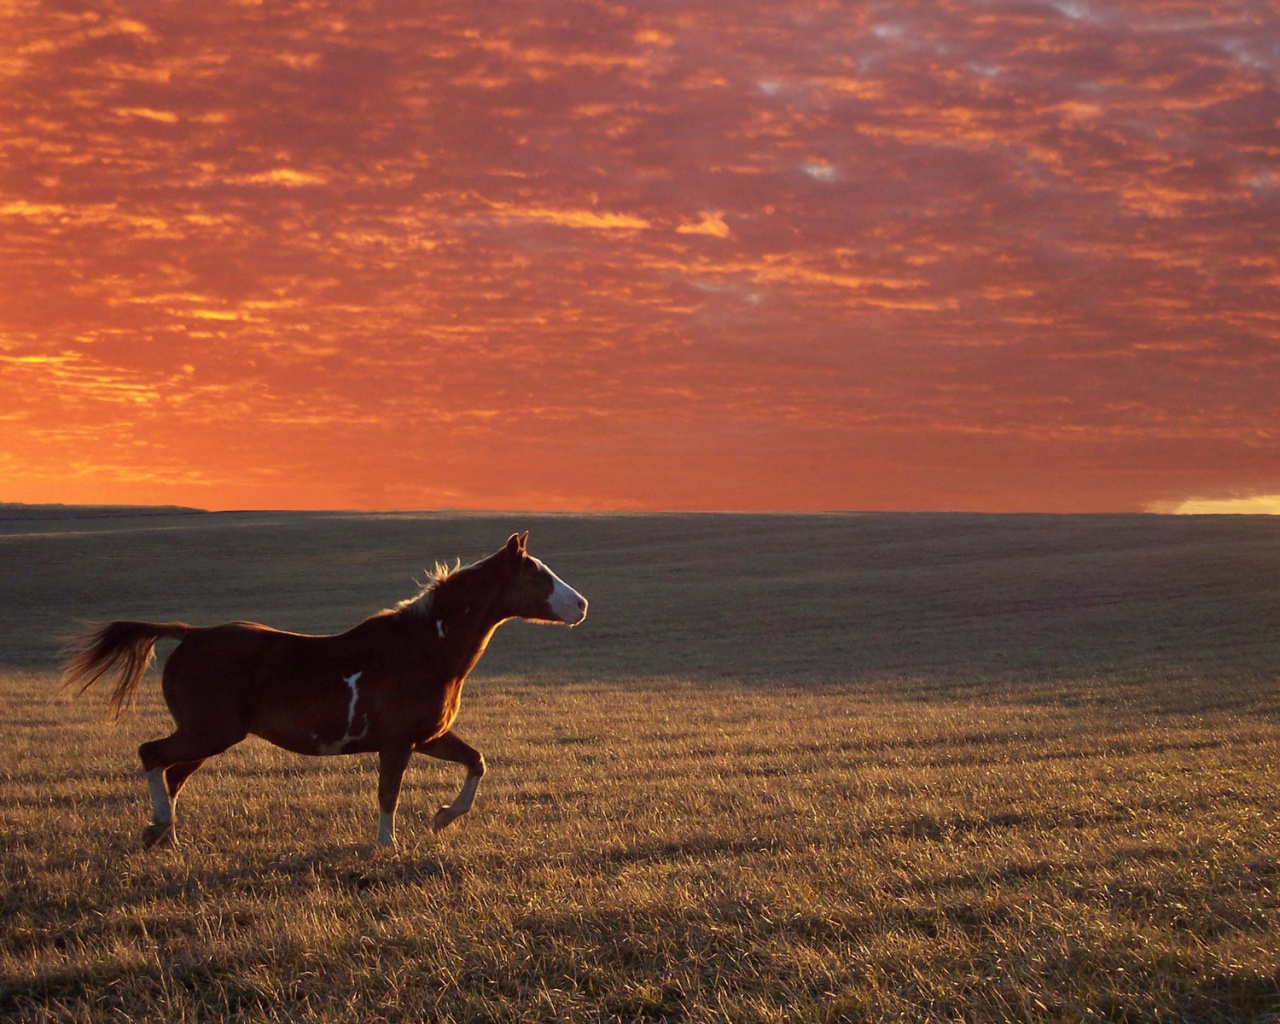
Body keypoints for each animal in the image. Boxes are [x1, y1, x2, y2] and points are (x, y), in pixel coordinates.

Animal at [55, 535, 586, 849]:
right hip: (209, 731)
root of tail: (190, 635)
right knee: (152, 755)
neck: (425, 649)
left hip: (210, 736)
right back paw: (159, 826)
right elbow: (388, 795)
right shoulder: (397, 743)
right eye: (537, 574)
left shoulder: (429, 737)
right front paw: (388, 847)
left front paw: (442, 818)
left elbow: (476, 762)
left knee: (173, 772)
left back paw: (162, 833)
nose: (581, 604)